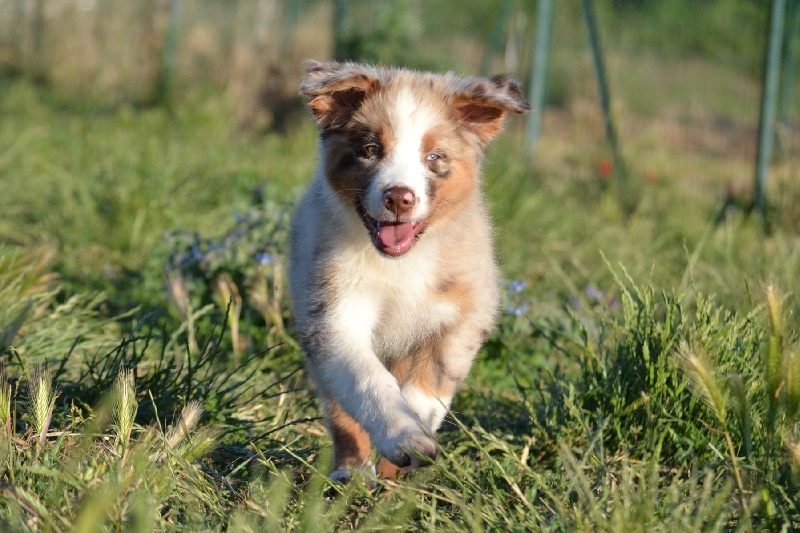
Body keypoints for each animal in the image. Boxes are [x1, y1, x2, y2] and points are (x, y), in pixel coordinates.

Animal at [290, 60, 532, 480]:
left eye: (433, 158)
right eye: (370, 150)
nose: (399, 198)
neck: (402, 264)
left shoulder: (466, 314)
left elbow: (428, 386)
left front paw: (411, 443)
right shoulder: (333, 316)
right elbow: (369, 382)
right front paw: (403, 437)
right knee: (341, 410)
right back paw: (350, 472)